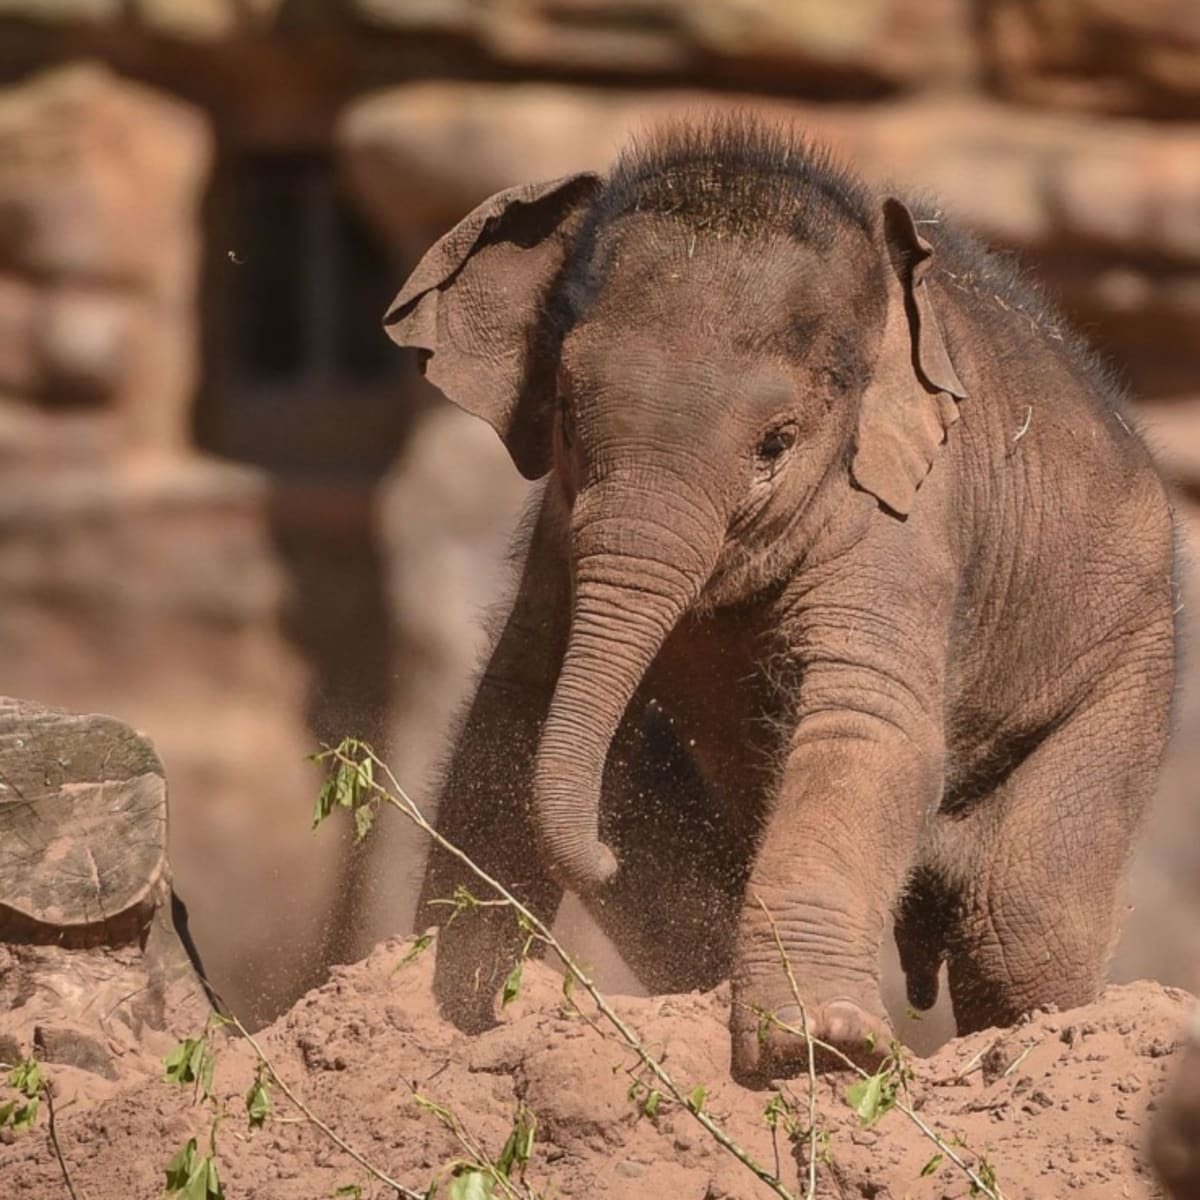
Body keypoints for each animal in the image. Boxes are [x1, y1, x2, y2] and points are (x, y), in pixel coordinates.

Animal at [384, 117, 1176, 1082]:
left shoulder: (906, 518)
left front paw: (820, 1047)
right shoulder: (559, 535)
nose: (598, 853)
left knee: (1024, 926)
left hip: (1130, 669)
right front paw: (451, 1011)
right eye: (567, 411)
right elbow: (520, 693)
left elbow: (868, 723)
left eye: (777, 443)